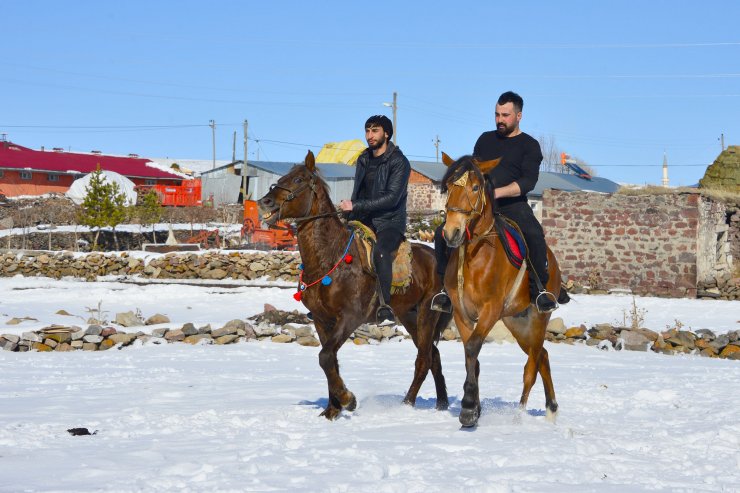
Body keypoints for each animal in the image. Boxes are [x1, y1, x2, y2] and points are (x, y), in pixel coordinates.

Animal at [258, 150, 454, 418]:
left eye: (298, 180)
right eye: (282, 178)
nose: (264, 202)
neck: (330, 257)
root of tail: (437, 258)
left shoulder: (350, 317)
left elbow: (325, 356)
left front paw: (347, 400)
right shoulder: (322, 320)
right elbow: (329, 360)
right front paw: (332, 410)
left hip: (427, 314)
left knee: (424, 358)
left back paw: (406, 404)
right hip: (409, 315)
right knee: (433, 356)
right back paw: (441, 403)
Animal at [440, 153, 568, 426]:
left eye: (475, 187)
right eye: (449, 187)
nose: (451, 232)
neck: (475, 255)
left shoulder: (490, 310)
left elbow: (473, 347)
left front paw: (469, 407)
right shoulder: (462, 313)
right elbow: (470, 356)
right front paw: (474, 408)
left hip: (538, 319)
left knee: (532, 365)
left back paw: (519, 414)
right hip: (516, 323)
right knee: (542, 355)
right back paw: (551, 408)